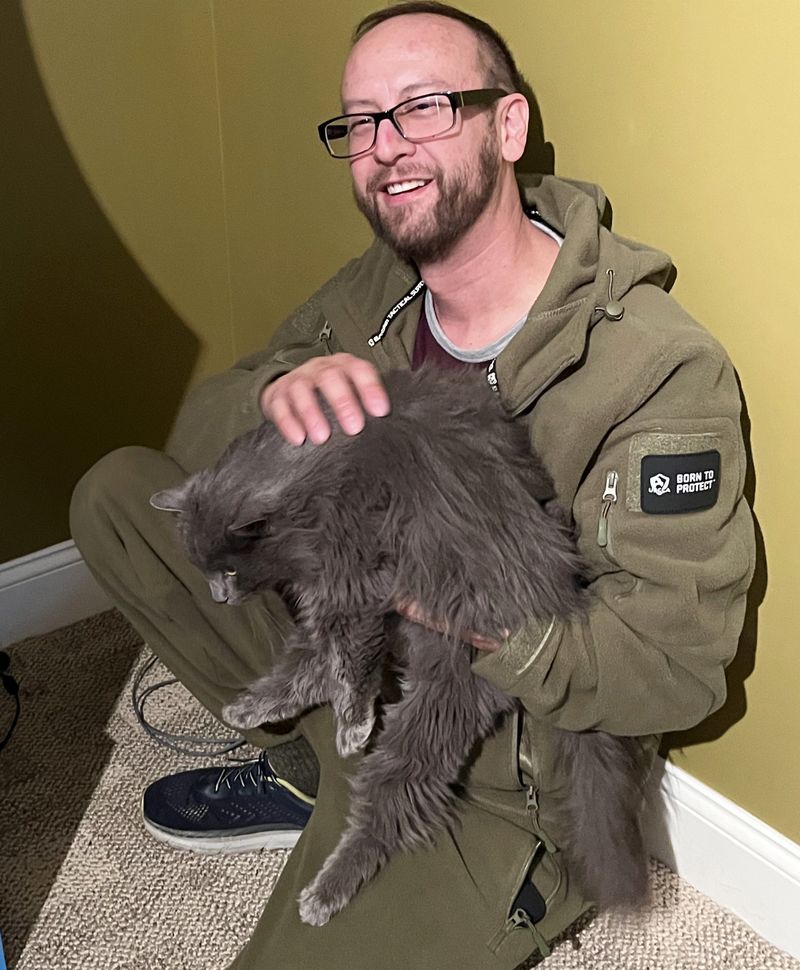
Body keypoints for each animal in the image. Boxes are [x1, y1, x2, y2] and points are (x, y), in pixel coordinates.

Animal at [150, 366, 648, 928]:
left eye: (230, 570)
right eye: (204, 568)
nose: (219, 596)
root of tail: (559, 598)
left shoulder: (354, 573)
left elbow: (354, 663)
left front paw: (353, 726)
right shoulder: (339, 590)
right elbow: (336, 659)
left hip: (442, 692)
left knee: (390, 797)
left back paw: (324, 892)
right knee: (309, 664)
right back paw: (251, 707)